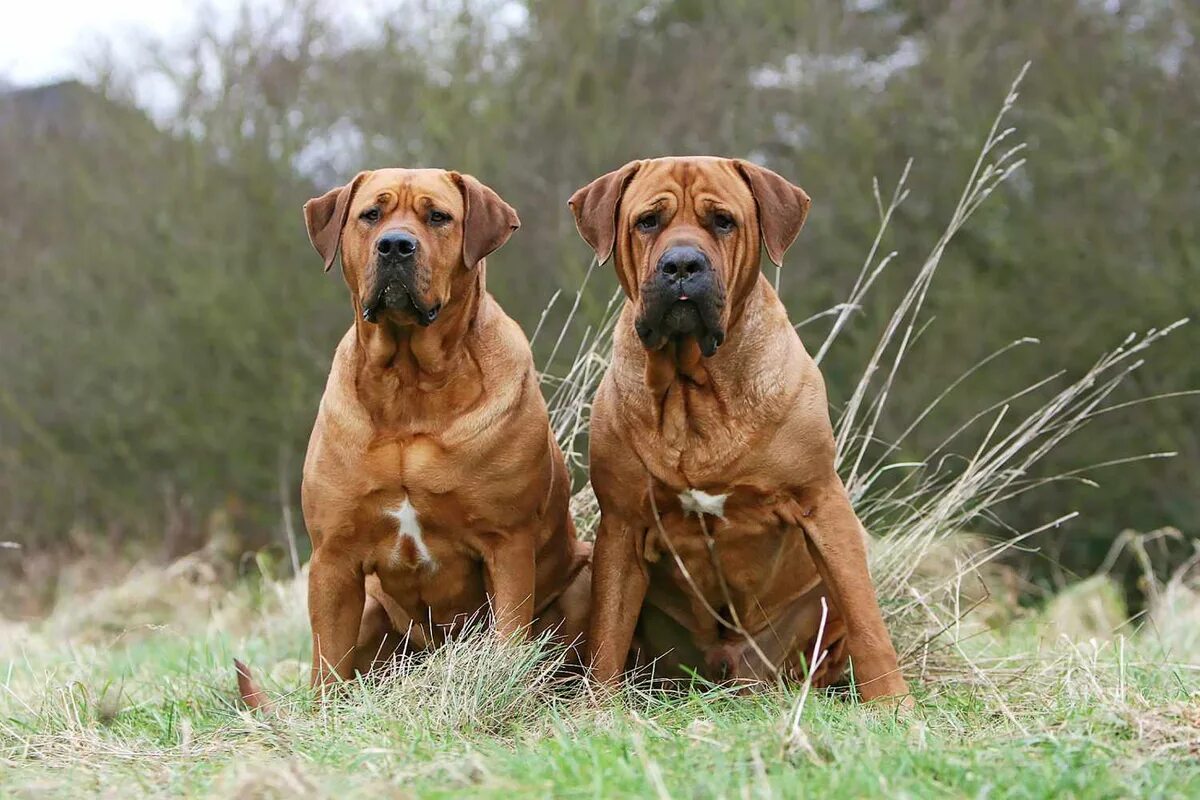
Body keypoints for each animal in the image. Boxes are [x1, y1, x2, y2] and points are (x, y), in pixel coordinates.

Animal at [236, 169, 588, 705]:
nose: (396, 245)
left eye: (437, 216)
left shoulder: (507, 545)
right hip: (370, 607)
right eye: (371, 214)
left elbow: (510, 635)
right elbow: (327, 663)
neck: (409, 384)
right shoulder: (334, 558)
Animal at [571, 159, 907, 705]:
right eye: (648, 221)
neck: (694, 388)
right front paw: (597, 706)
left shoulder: (821, 502)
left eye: (723, 221)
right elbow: (608, 633)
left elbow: (866, 617)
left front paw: (895, 703)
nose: (681, 265)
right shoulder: (622, 524)